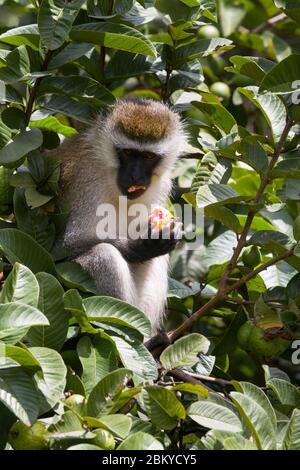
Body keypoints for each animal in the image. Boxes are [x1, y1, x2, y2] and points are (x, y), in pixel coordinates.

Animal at [57, 97, 186, 336]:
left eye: (148, 156)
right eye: (127, 153)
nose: (135, 176)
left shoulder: (161, 183)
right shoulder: (87, 177)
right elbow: (70, 244)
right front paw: (144, 245)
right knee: (105, 255)